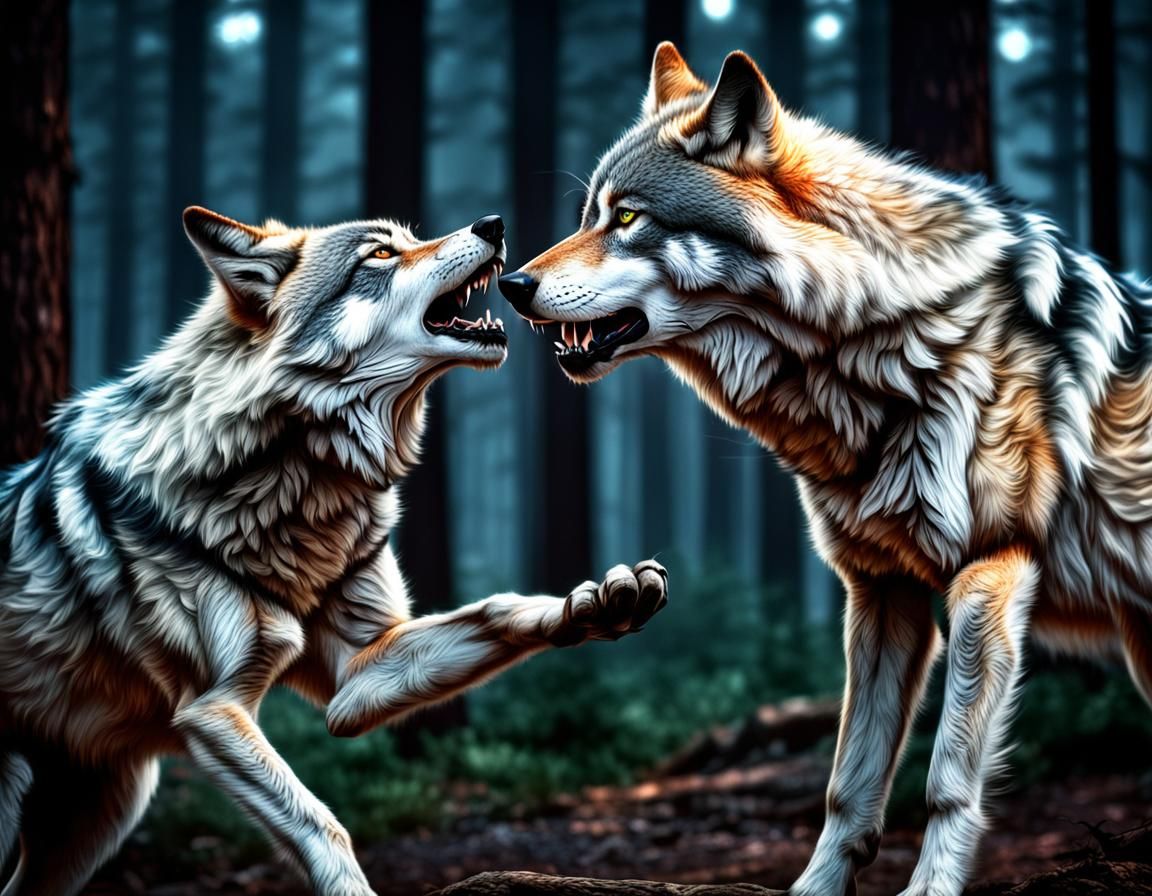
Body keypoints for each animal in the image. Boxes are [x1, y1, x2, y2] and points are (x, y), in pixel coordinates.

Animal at [0, 207, 668, 896]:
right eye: (379, 255)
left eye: (410, 238)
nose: (493, 223)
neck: (297, 482)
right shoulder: (213, 710)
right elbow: (322, 824)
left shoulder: (356, 675)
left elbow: (499, 608)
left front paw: (596, 605)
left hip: (104, 816)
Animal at [498, 41, 1152, 896]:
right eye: (587, 217)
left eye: (629, 218)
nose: (511, 284)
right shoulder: (881, 588)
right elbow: (848, 786)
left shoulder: (990, 569)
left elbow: (946, 779)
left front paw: (931, 888)